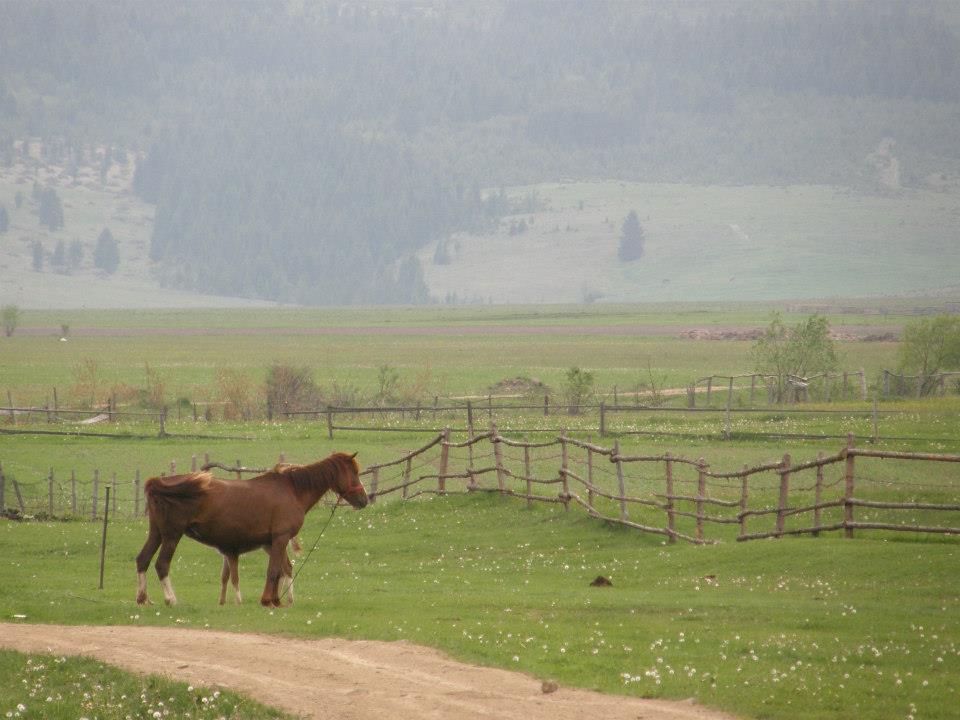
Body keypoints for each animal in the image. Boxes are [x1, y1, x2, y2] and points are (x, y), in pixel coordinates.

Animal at [137, 450, 370, 608]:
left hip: (157, 534)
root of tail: (158, 483)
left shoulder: (271, 543)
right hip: (171, 535)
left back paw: (143, 598)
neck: (292, 489)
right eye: (354, 472)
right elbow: (274, 570)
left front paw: (276, 599)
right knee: (161, 564)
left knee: (143, 560)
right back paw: (171, 599)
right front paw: (267, 600)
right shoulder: (280, 538)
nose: (364, 500)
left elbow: (280, 569)